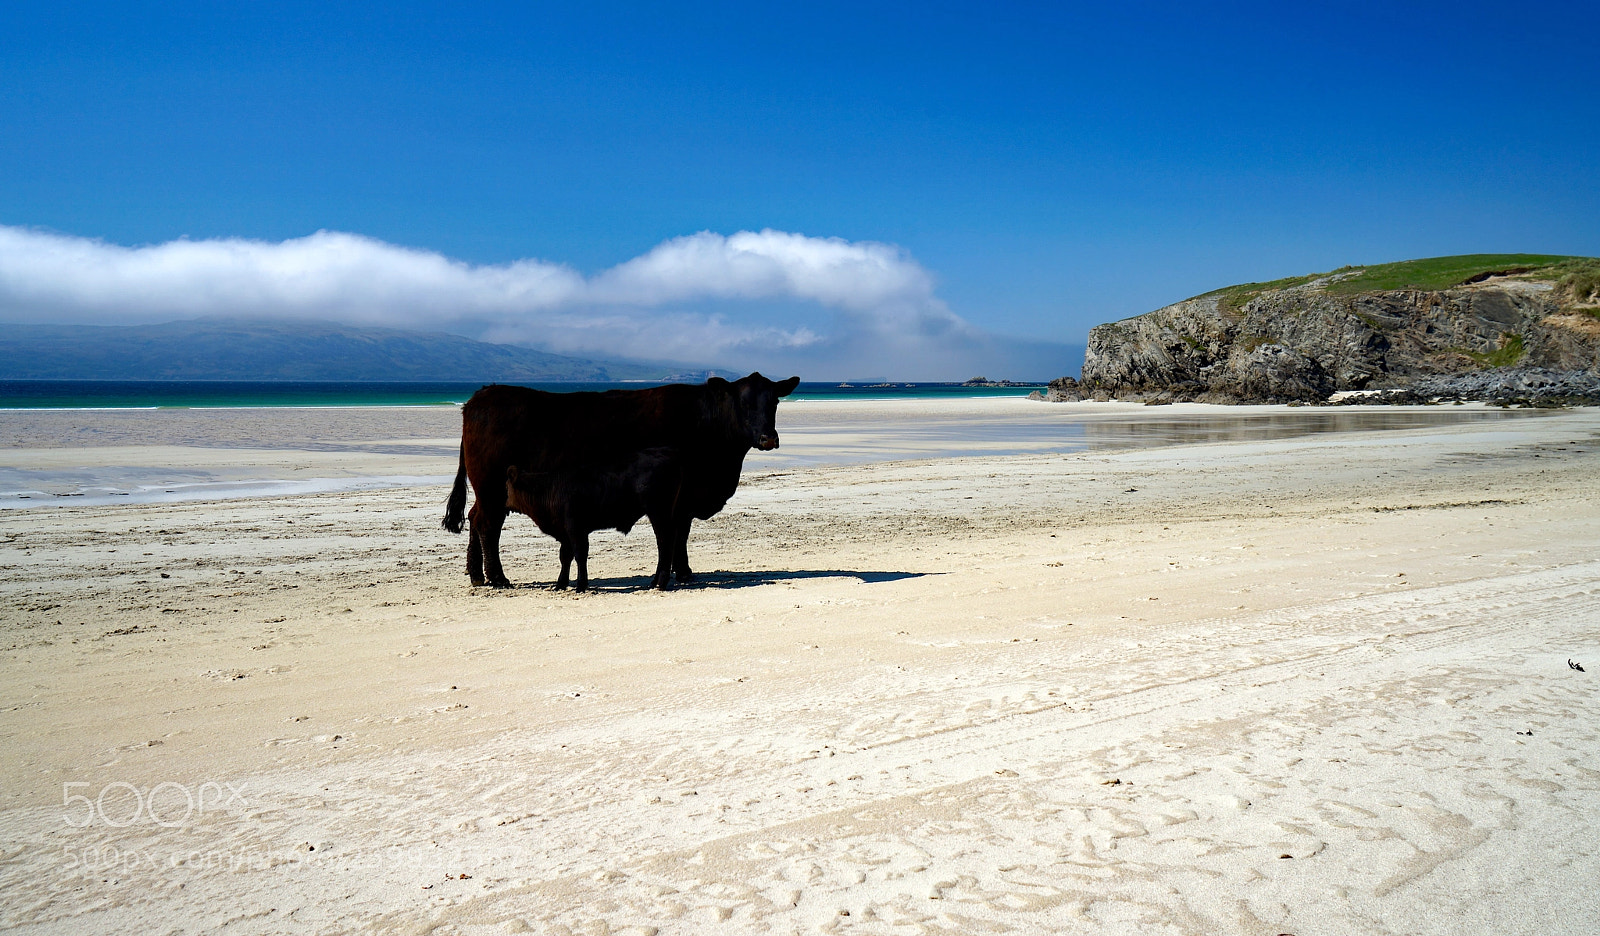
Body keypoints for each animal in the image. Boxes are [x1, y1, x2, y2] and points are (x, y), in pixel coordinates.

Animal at [503, 446, 682, 592]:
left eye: (505, 486)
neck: (550, 488)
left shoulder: (575, 528)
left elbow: (580, 555)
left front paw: (581, 585)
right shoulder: (566, 533)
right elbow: (565, 557)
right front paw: (560, 584)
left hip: (658, 513)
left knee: (664, 543)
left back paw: (661, 582)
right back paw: (654, 582)